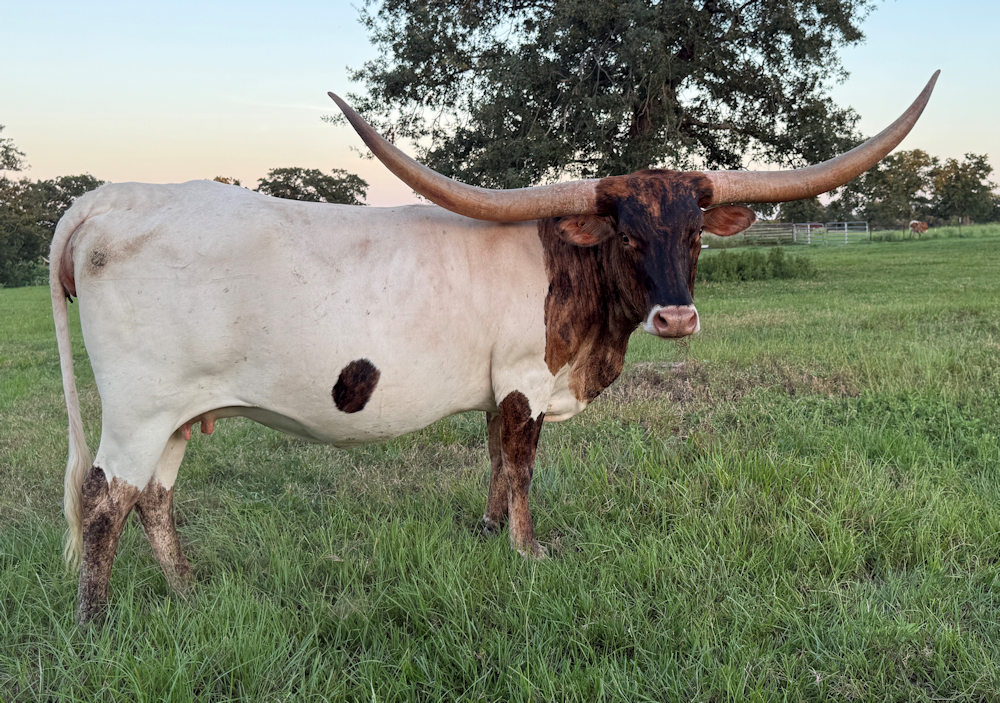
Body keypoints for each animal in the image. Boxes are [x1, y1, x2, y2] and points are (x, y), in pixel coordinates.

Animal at [50, 72, 938, 623]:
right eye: (627, 232)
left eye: (693, 233)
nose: (678, 320)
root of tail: (109, 199)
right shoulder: (522, 381)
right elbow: (521, 465)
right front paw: (528, 550)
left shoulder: (493, 390)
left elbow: (491, 460)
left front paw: (485, 534)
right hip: (137, 409)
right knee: (103, 497)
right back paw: (95, 622)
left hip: (176, 413)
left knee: (152, 497)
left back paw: (188, 592)